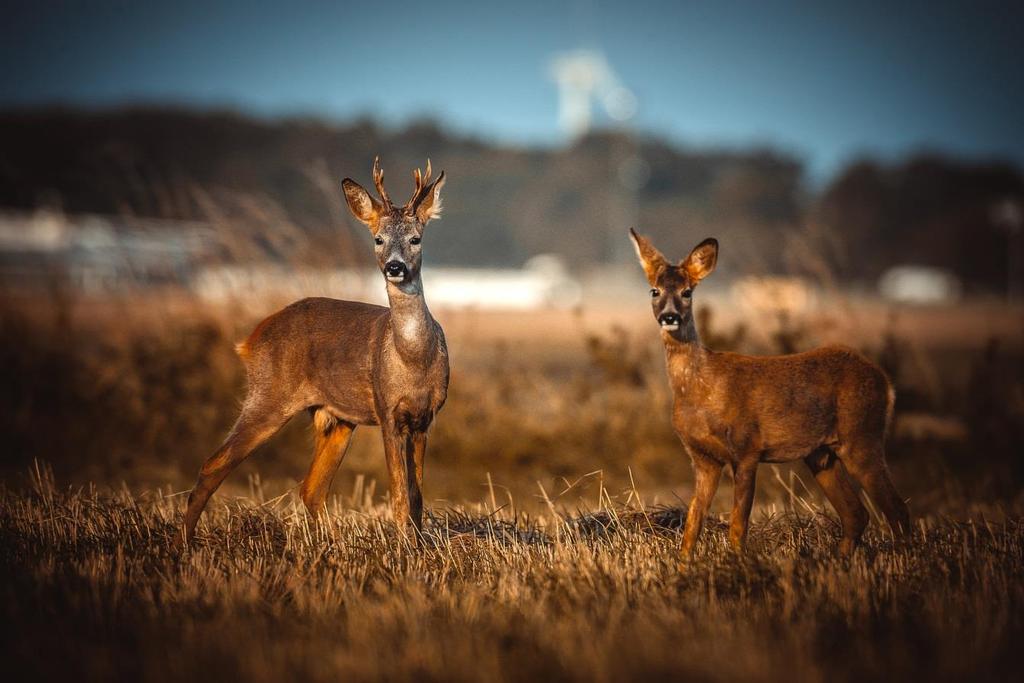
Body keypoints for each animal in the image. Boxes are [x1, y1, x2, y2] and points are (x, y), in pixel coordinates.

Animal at [179, 157, 448, 548]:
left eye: (416, 238)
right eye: (378, 239)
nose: (394, 267)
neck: (413, 360)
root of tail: (250, 340)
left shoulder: (425, 417)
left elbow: (417, 496)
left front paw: (416, 545)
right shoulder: (387, 412)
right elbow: (400, 494)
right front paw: (403, 550)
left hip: (336, 417)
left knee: (311, 488)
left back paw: (336, 544)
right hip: (269, 395)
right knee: (213, 464)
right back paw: (183, 544)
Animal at [626, 229, 909, 561]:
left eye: (687, 292)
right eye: (654, 291)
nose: (670, 317)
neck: (701, 389)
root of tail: (885, 381)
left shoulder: (747, 448)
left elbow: (738, 524)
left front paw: (737, 563)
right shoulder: (703, 458)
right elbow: (692, 523)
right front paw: (684, 565)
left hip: (862, 436)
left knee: (897, 510)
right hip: (821, 453)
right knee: (856, 514)